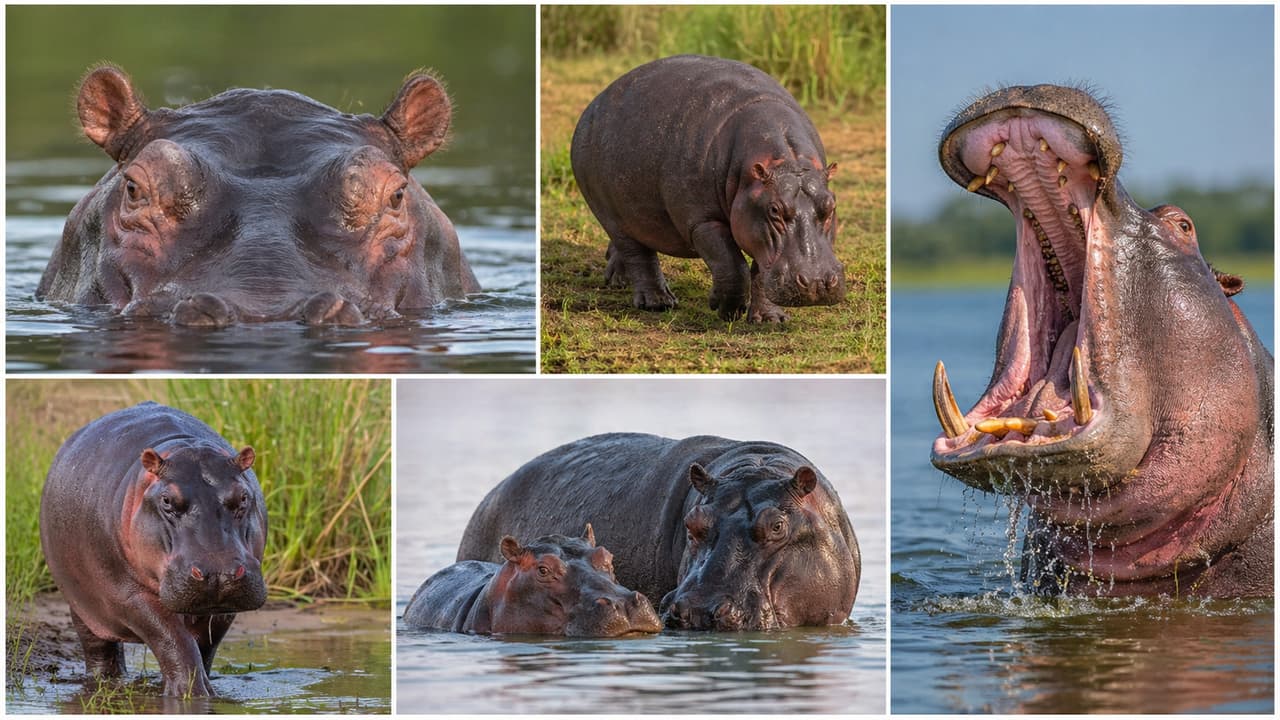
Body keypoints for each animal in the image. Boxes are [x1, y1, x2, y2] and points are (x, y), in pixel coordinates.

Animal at [40, 402, 268, 696]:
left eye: (242, 496)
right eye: (167, 500)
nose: (219, 574)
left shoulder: (224, 606)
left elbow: (202, 646)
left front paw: (204, 692)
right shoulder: (128, 595)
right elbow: (172, 638)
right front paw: (190, 694)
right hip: (81, 604)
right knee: (98, 649)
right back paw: (103, 683)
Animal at [570, 55, 846, 323]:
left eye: (830, 206)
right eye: (775, 210)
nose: (816, 283)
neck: (784, 160)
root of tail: (598, 99)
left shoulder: (757, 229)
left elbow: (761, 273)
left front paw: (770, 320)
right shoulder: (702, 221)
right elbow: (732, 264)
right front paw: (725, 310)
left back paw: (619, 280)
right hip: (609, 213)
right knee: (638, 253)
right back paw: (658, 302)